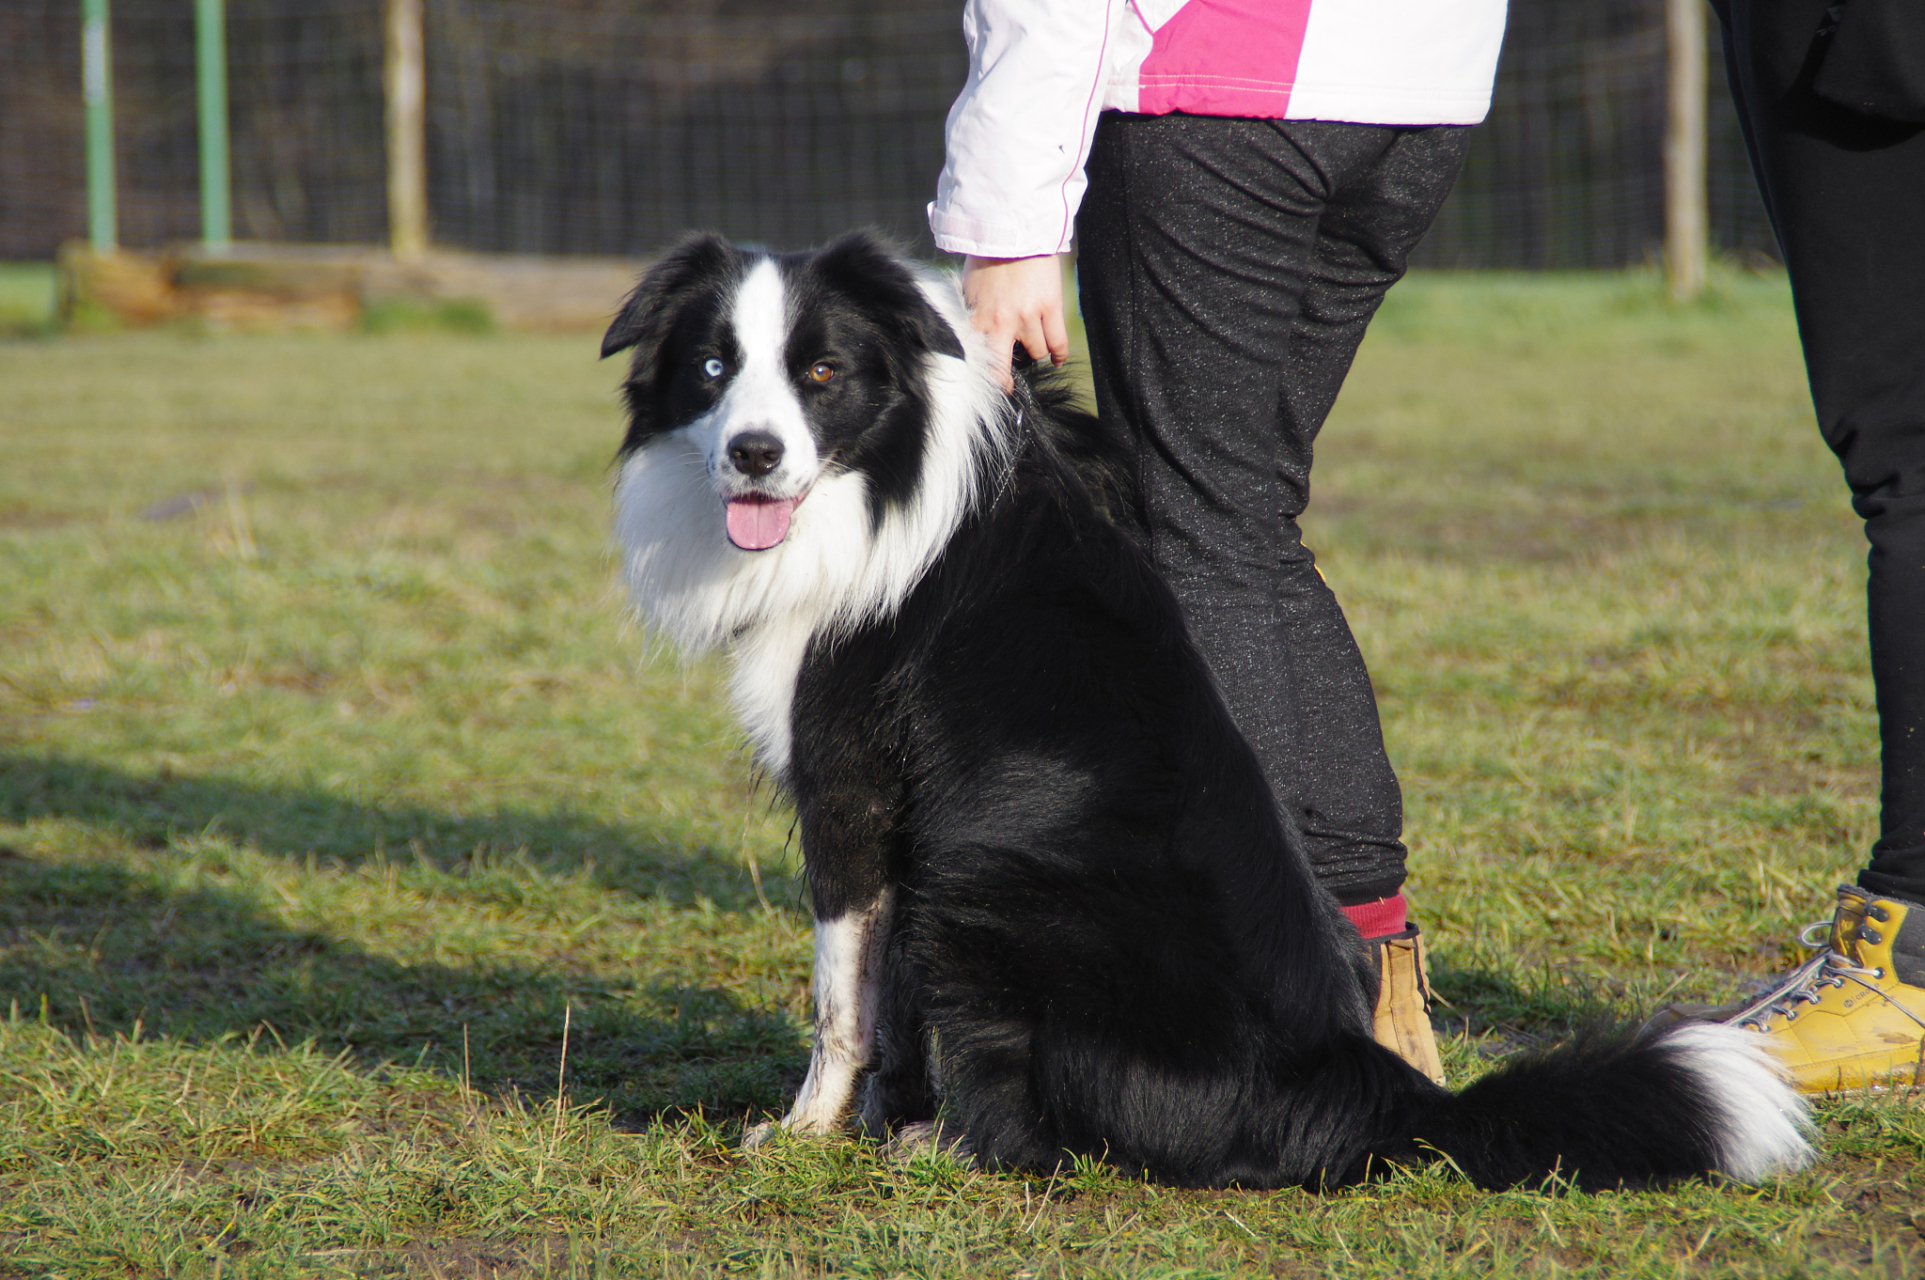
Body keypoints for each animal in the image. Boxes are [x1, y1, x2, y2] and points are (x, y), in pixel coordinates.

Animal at [604, 231, 1817, 1185]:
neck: (883, 468)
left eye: (820, 371)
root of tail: (1356, 1085)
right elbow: (884, 998)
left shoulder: (848, 784)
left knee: (1032, 1128)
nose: (753, 455)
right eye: (711, 366)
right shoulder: (900, 812)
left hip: (985, 879)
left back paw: (951, 1148)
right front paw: (876, 1116)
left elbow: (841, 994)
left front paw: (810, 1131)